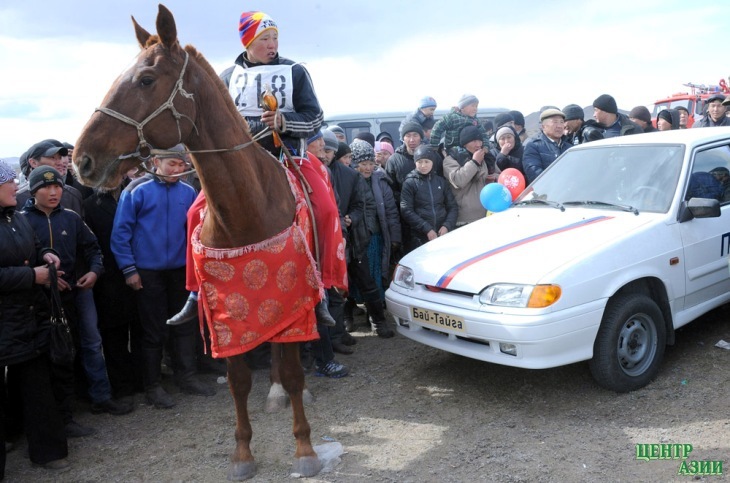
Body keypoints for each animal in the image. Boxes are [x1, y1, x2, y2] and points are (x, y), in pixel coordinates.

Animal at [74, 5, 322, 482]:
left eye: (146, 79)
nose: (83, 160)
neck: (245, 211)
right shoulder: (224, 312)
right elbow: (238, 382)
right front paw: (242, 455)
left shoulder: (292, 299)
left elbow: (294, 372)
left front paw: (304, 448)